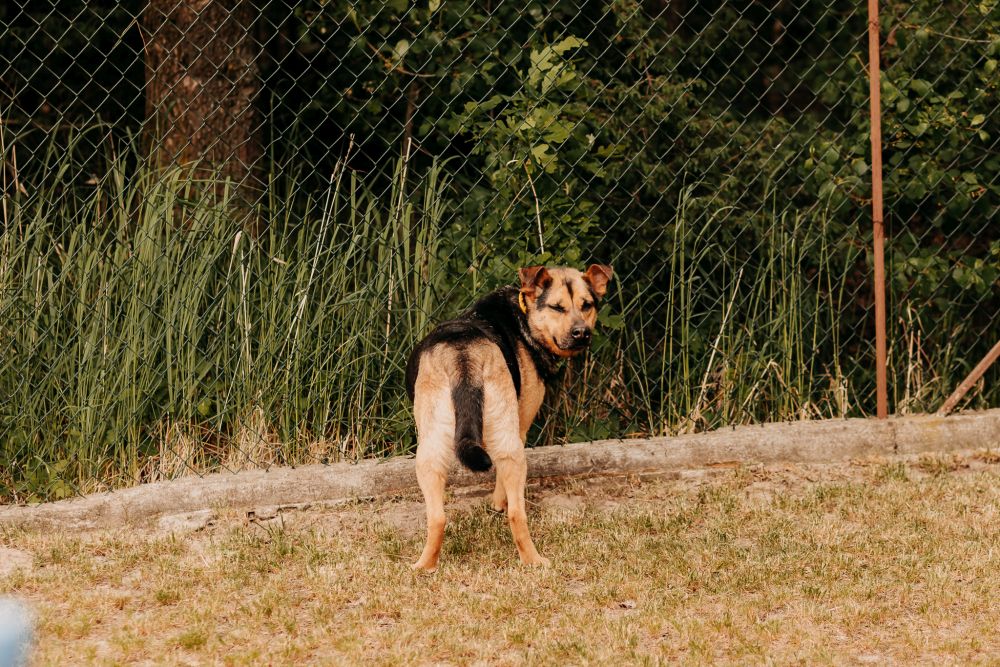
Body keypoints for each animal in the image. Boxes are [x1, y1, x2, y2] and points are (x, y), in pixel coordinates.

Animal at [405, 264, 613, 570]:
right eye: (557, 307)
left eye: (586, 305)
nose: (581, 333)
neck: (524, 315)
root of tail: (465, 357)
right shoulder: (522, 425)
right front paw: (497, 503)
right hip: (510, 444)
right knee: (516, 512)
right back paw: (532, 559)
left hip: (429, 455)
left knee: (440, 517)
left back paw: (425, 566)